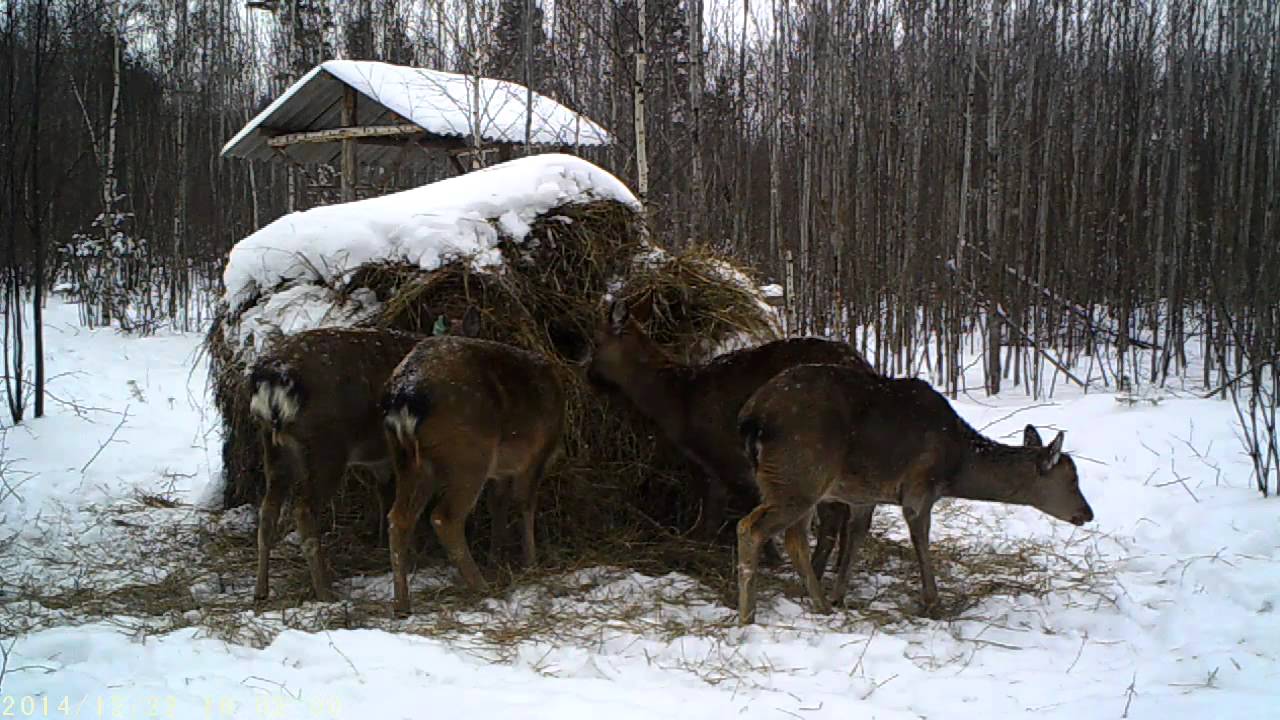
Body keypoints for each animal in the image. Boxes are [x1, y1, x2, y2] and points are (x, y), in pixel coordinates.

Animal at [247, 307, 478, 599]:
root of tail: (273, 380)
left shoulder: (380, 460)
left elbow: (385, 497)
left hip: (273, 446)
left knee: (267, 511)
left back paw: (260, 590)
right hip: (326, 447)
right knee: (304, 510)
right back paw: (325, 590)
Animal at [376, 333, 563, 614]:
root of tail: (405, 397)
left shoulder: (501, 470)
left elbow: (498, 505)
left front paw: (497, 561)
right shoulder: (536, 455)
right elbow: (525, 504)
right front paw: (531, 564)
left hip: (407, 459)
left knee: (398, 518)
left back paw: (402, 605)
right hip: (469, 456)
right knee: (444, 518)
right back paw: (481, 587)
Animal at [583, 293, 875, 566]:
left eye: (596, 341)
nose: (589, 378)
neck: (679, 405)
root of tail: (865, 366)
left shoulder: (725, 455)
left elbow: (740, 507)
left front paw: (770, 557)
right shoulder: (712, 466)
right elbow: (712, 514)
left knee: (835, 515)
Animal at [737, 363, 1095, 622]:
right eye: (1072, 479)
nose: (1088, 513)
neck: (955, 464)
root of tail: (753, 416)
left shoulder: (864, 495)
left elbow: (857, 537)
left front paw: (840, 595)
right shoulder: (919, 489)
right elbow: (921, 540)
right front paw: (934, 604)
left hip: (791, 483)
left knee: (794, 537)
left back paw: (821, 603)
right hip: (798, 475)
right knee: (750, 527)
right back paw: (748, 617)